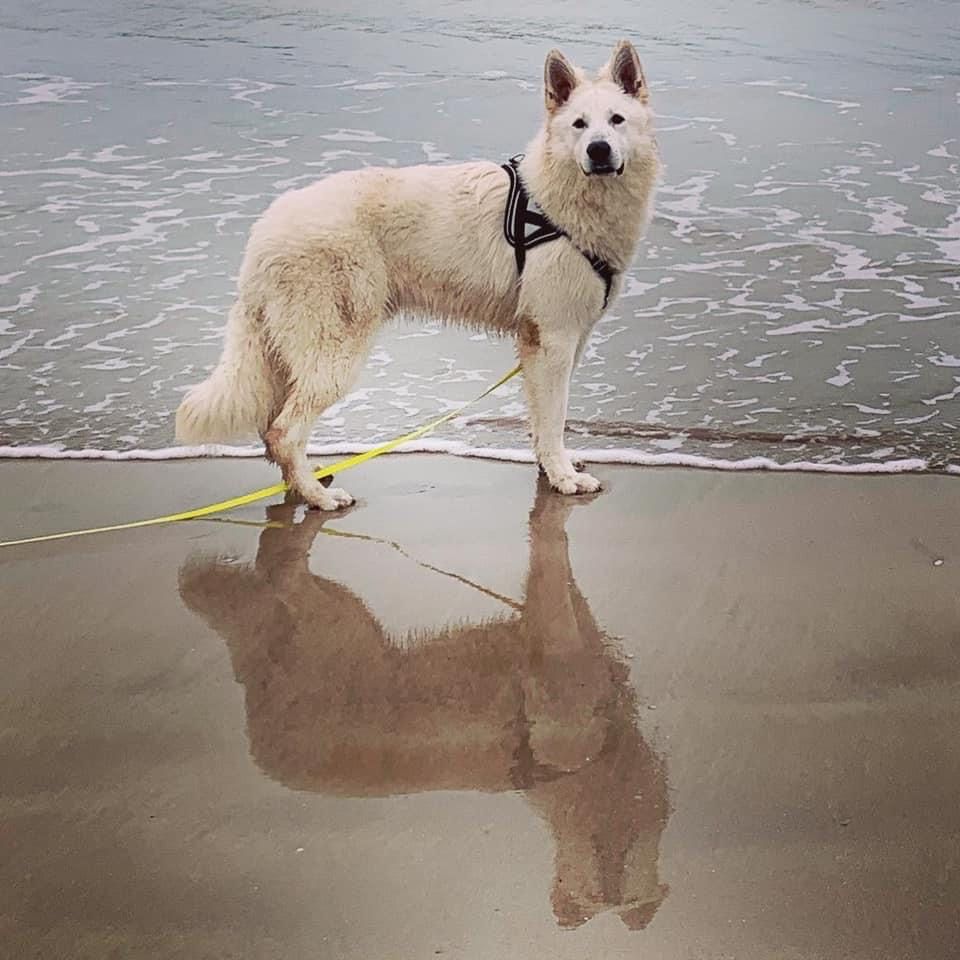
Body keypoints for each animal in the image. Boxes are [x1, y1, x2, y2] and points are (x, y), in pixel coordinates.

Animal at [175, 41, 659, 509]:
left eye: (616, 120)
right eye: (579, 125)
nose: (599, 150)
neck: (563, 201)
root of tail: (263, 233)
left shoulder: (560, 341)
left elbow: (544, 422)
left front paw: (552, 468)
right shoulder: (553, 339)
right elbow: (554, 418)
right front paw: (563, 478)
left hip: (287, 357)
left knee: (270, 431)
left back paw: (302, 485)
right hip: (334, 353)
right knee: (284, 431)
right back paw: (319, 497)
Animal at [178, 482, 670, 928]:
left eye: (625, 871)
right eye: (592, 867)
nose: (610, 877)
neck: (600, 785)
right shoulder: (558, 659)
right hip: (336, 619)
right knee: (281, 569)